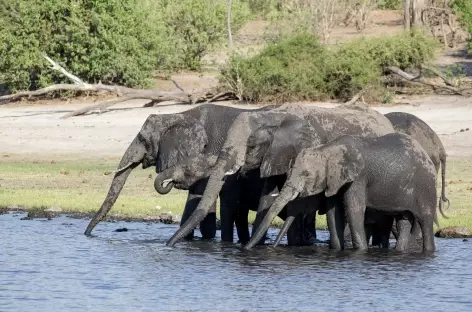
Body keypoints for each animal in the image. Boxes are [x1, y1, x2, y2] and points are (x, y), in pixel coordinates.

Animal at [245, 132, 444, 254]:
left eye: (306, 174)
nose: (245, 249)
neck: (327, 149)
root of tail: (426, 154)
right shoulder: (334, 180)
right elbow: (334, 212)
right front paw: (337, 250)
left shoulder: (357, 178)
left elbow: (354, 209)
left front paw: (360, 251)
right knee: (403, 221)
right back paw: (400, 252)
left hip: (426, 185)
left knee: (425, 221)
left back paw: (428, 251)